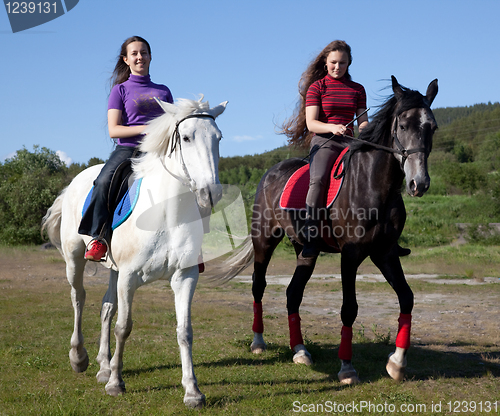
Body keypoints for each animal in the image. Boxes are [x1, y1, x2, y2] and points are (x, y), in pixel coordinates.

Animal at [42, 96, 228, 408]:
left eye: (218, 138)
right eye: (186, 138)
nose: (210, 194)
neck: (167, 215)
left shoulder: (185, 277)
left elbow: (184, 331)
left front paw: (192, 391)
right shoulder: (129, 277)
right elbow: (124, 326)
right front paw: (116, 383)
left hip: (114, 270)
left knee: (106, 307)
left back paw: (104, 366)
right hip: (75, 258)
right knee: (78, 298)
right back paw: (79, 357)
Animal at [211, 77, 438, 384]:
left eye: (432, 126)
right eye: (402, 126)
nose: (419, 183)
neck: (374, 184)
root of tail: (271, 172)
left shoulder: (385, 253)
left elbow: (407, 298)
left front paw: (397, 363)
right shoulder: (350, 255)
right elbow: (349, 309)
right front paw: (347, 368)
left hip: (306, 250)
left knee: (293, 294)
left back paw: (300, 351)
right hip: (264, 241)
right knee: (259, 286)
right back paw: (258, 342)